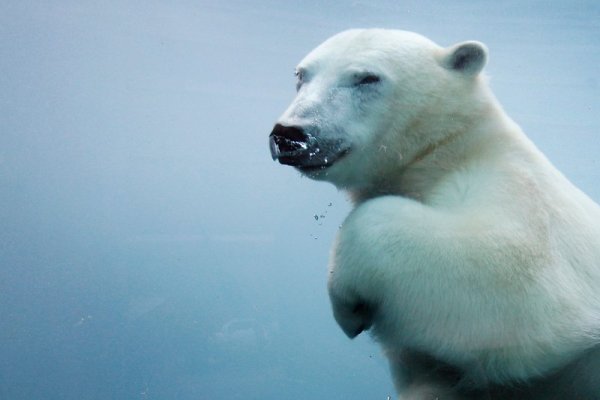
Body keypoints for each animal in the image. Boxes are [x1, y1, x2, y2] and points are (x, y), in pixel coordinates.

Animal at [268, 29, 600, 398]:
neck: (448, 150)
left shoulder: (521, 195)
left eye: (367, 78)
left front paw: (348, 307)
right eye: (301, 75)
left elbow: (513, 276)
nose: (290, 133)